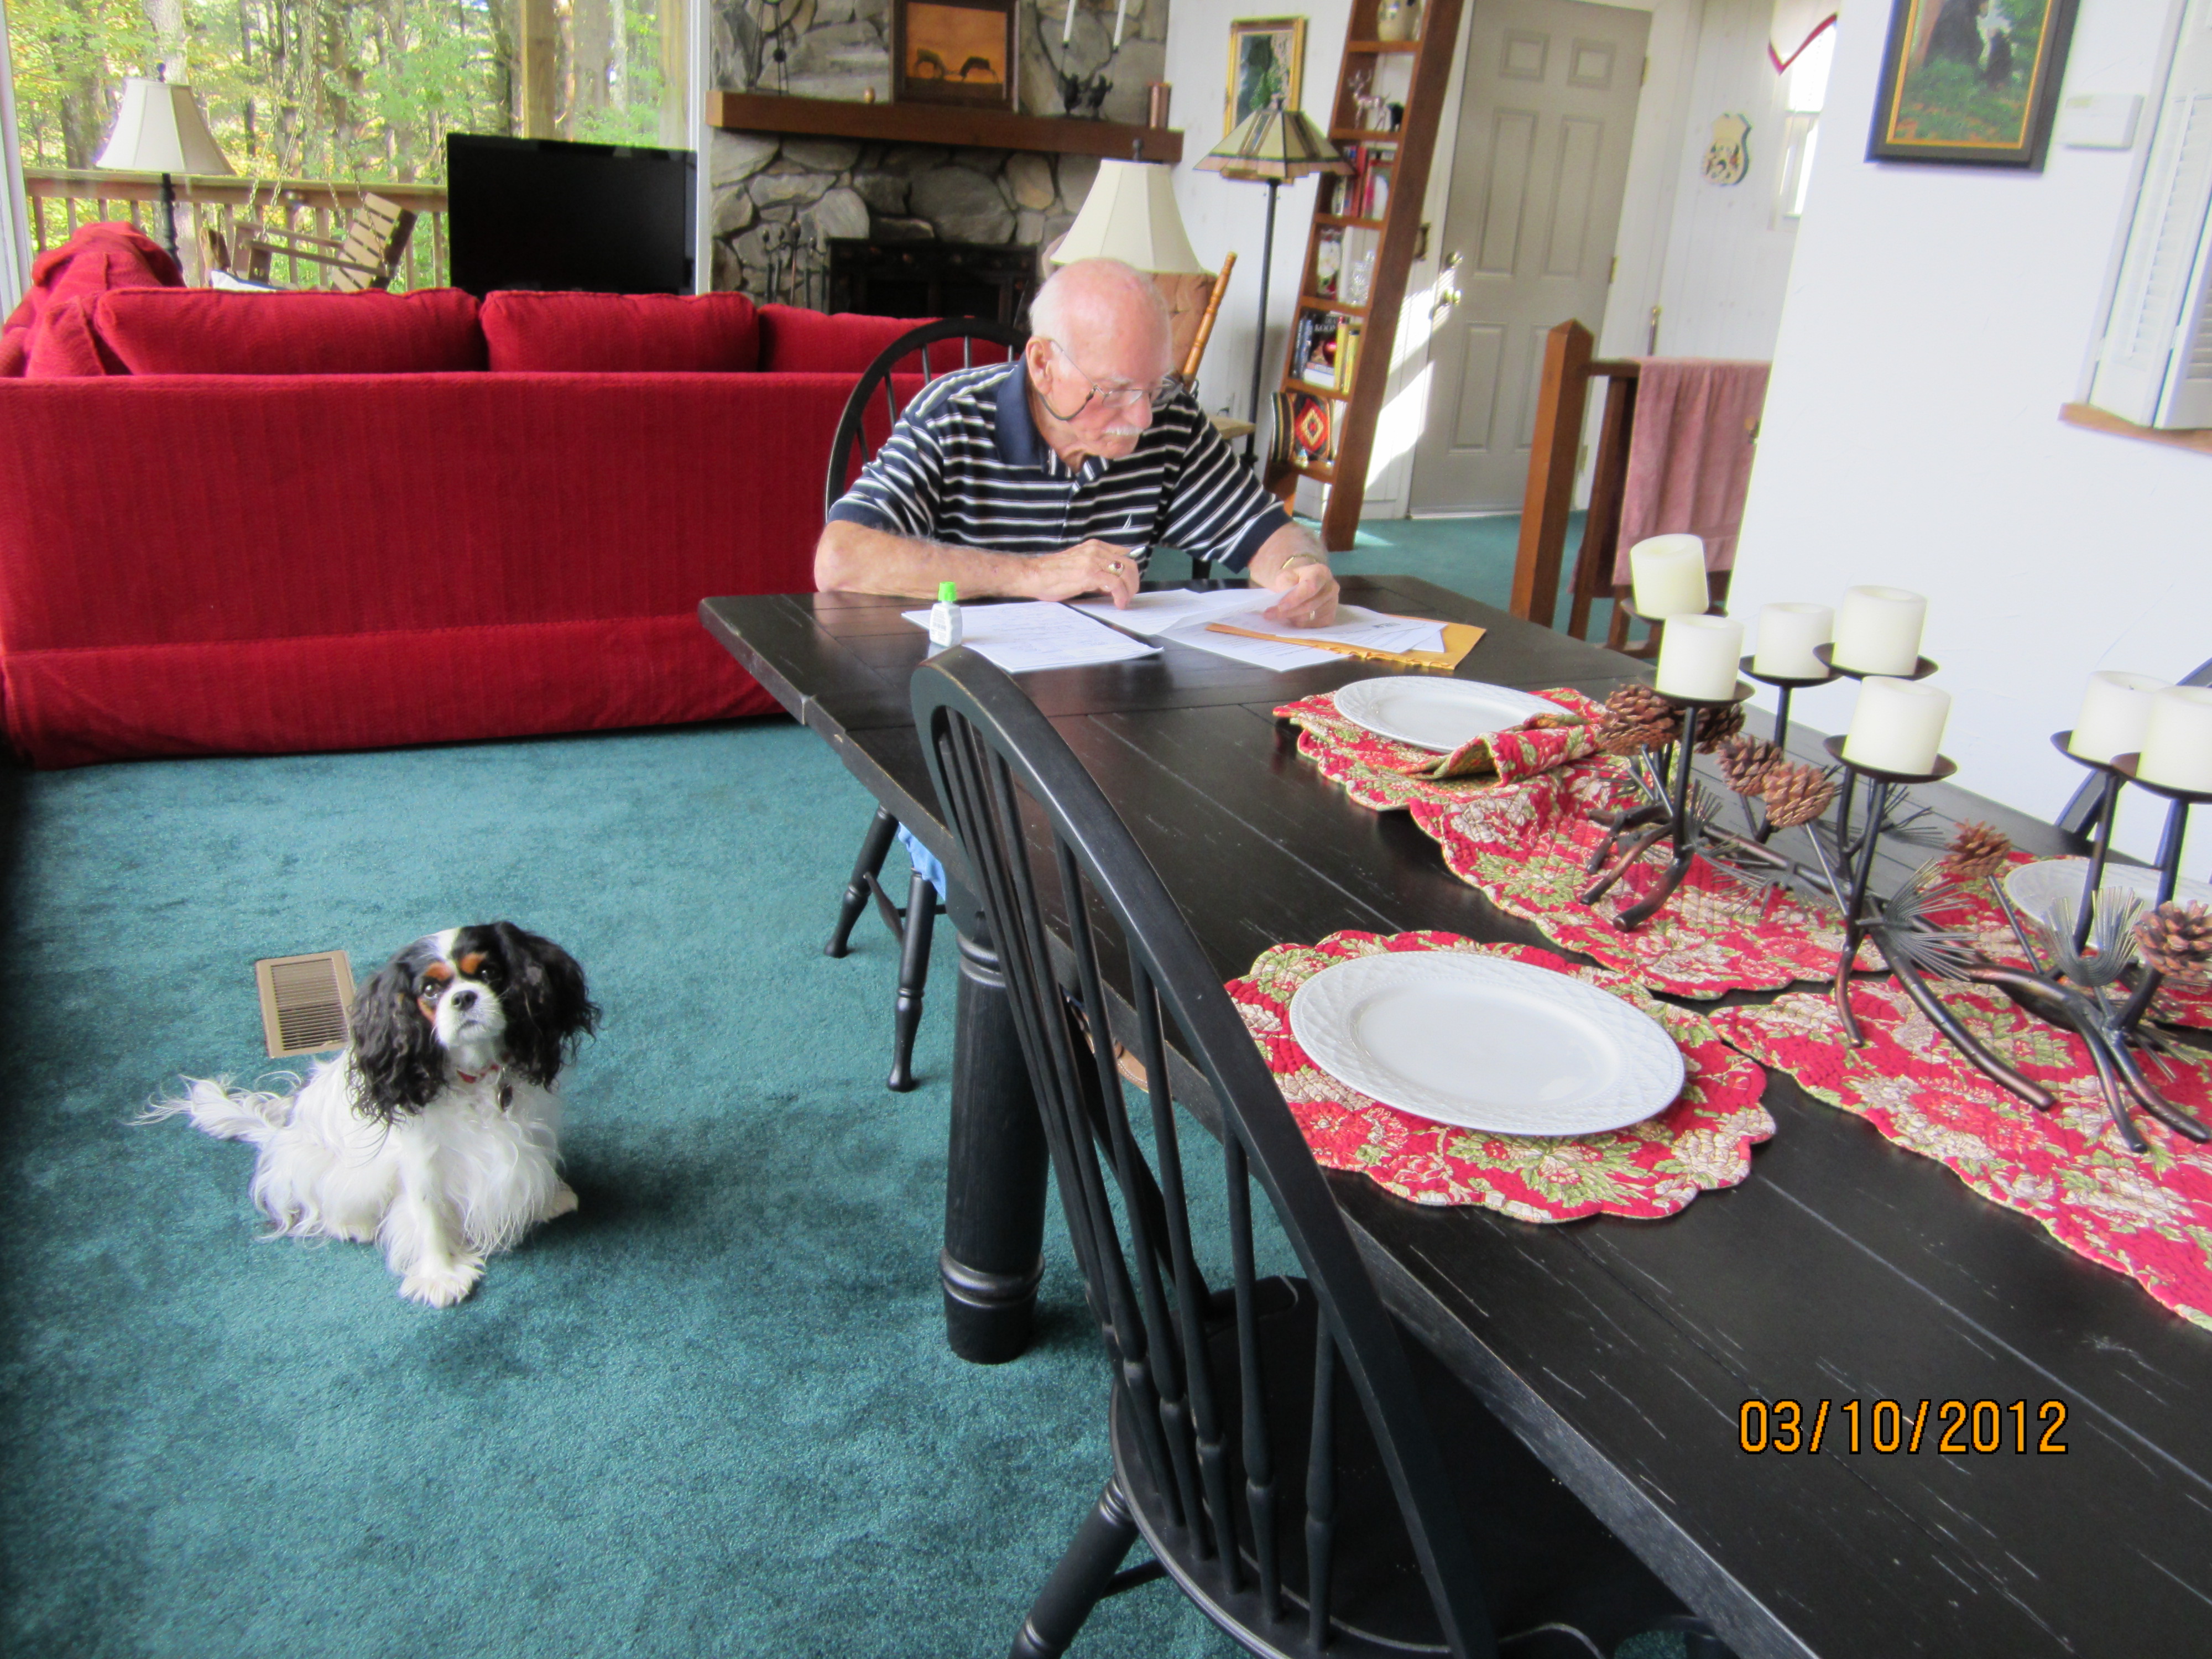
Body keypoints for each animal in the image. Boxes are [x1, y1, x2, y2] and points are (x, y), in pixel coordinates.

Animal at [152, 923, 599, 1307]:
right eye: (430, 990)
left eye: (489, 973)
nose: (464, 998)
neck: (477, 1076)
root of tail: (279, 1136)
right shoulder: (422, 1159)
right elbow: (427, 1213)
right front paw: (439, 1276)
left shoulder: (532, 1121)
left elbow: (538, 1156)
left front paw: (550, 1198)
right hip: (343, 1175)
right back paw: (355, 1226)